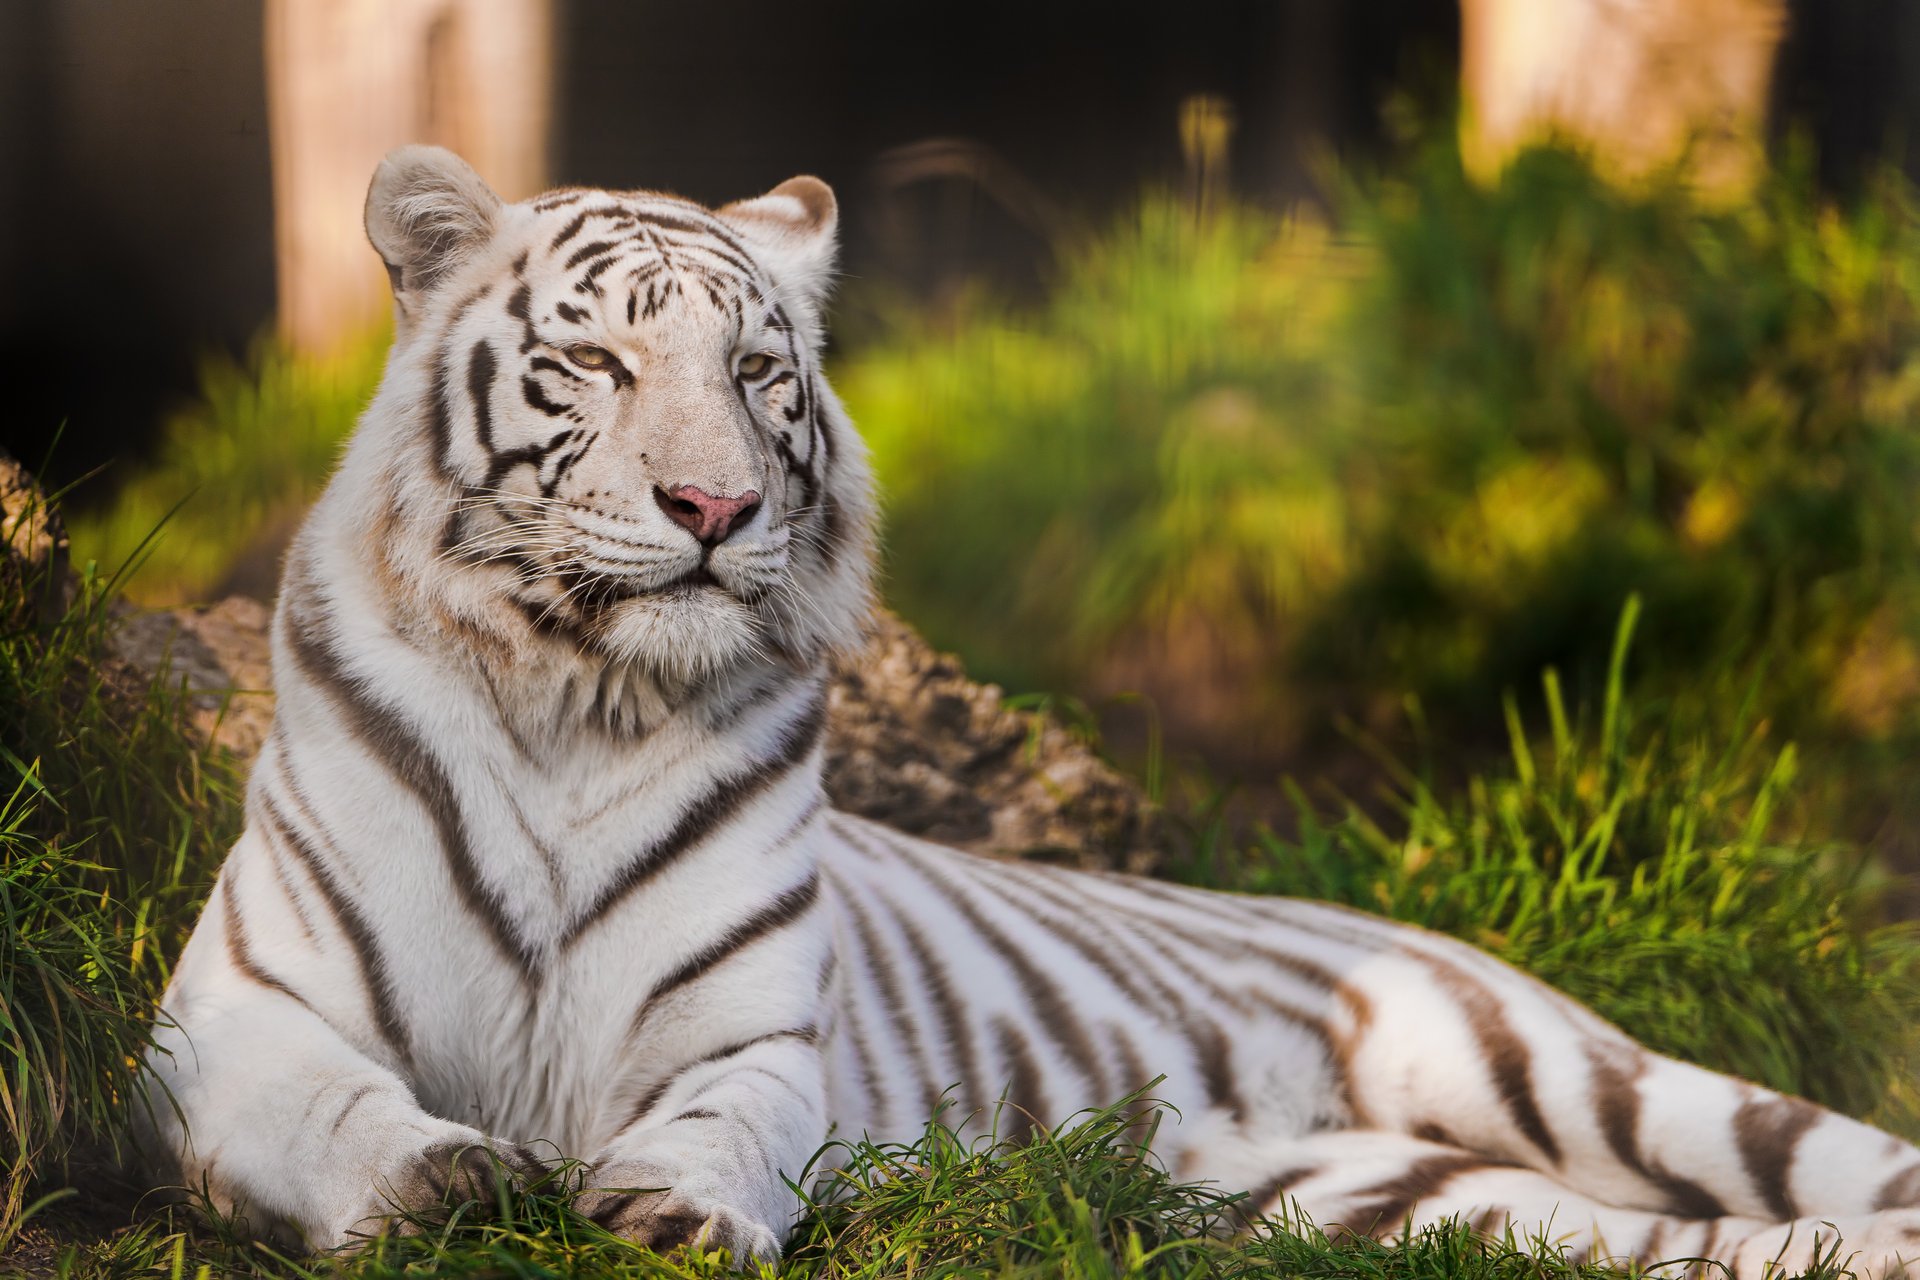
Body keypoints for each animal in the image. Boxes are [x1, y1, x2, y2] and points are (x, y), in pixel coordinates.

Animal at [141, 144, 1920, 1274]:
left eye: (762, 376)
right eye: (592, 367)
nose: (715, 508)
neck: (579, 694)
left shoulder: (756, 1036)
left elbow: (722, 1121)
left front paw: (666, 1205)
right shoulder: (234, 1014)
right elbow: (337, 1109)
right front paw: (447, 1179)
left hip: (1579, 1075)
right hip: (1391, 1203)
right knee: (1674, 1246)